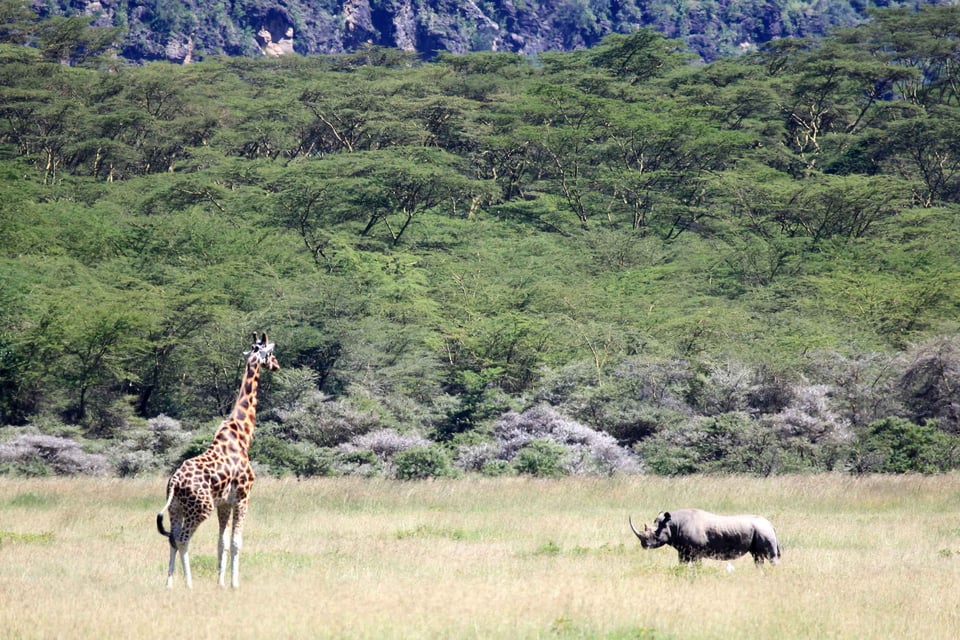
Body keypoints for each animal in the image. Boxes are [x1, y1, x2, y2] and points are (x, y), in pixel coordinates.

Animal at [157, 332, 280, 588]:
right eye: (272, 353)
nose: (277, 365)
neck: (242, 435)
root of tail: (174, 483)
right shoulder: (243, 497)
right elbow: (236, 543)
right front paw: (234, 584)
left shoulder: (224, 503)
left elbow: (221, 542)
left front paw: (220, 582)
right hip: (201, 508)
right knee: (183, 539)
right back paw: (189, 584)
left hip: (176, 508)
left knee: (172, 538)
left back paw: (169, 584)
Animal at [629, 508, 781, 566]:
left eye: (655, 534)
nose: (644, 545)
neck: (672, 524)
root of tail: (771, 524)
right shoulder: (683, 551)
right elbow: (682, 564)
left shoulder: (697, 551)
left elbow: (697, 566)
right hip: (759, 531)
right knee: (757, 556)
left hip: (763, 531)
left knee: (770, 556)